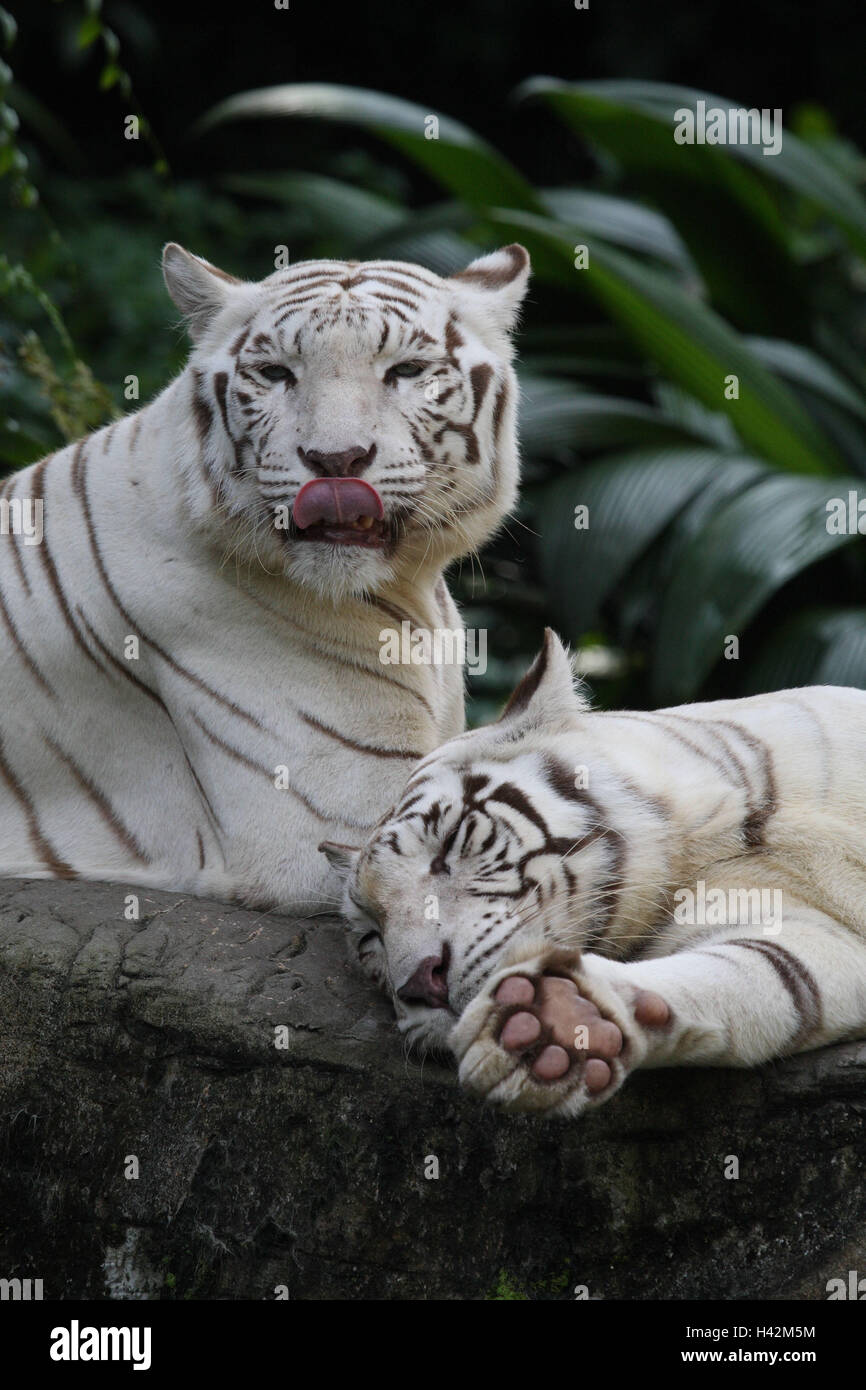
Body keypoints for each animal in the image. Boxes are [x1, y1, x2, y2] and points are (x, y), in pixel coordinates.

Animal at [323, 633, 866, 1117]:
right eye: (371, 937)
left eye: (449, 844)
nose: (420, 984)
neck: (713, 832)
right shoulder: (792, 926)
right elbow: (765, 973)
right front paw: (558, 1021)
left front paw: (554, 1020)